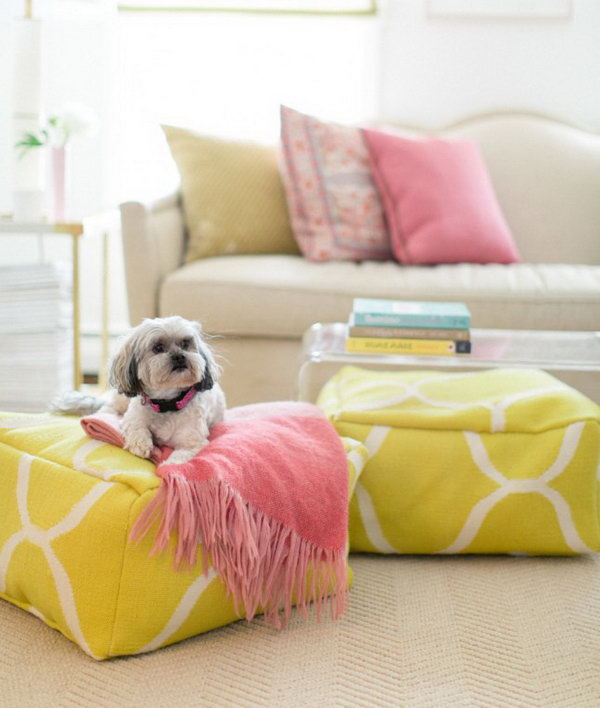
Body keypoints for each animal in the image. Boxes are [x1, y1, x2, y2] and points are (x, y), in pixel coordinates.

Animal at [57, 316, 225, 464]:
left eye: (185, 344)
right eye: (158, 348)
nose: (179, 356)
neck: (166, 403)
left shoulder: (193, 441)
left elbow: (181, 456)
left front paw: (169, 465)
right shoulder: (133, 416)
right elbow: (136, 428)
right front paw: (141, 444)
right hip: (122, 399)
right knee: (109, 406)